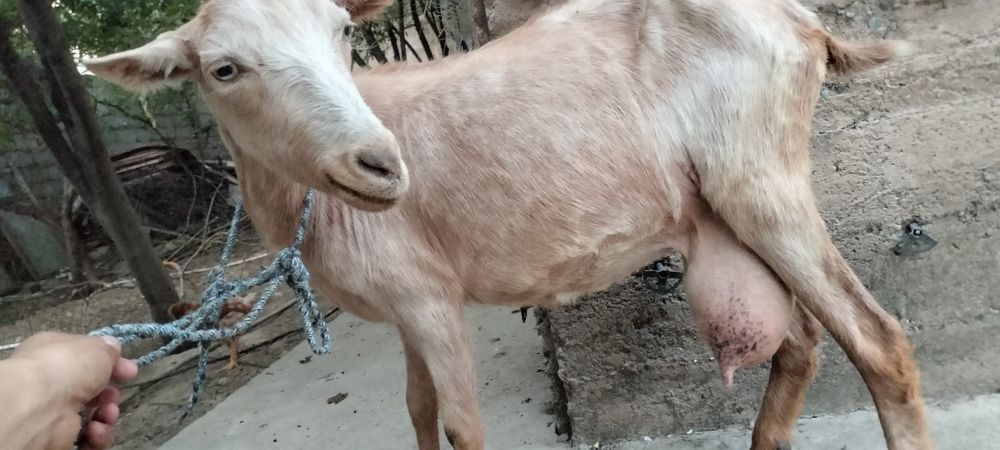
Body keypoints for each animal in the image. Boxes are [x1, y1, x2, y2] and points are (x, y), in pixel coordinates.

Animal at [85, 0, 931, 448]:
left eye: (341, 33)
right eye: (223, 69)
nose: (379, 164)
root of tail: (802, 23)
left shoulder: (430, 301)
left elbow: (462, 427)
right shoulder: (408, 303)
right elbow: (420, 412)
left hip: (761, 177)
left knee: (877, 344)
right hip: (724, 216)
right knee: (800, 346)